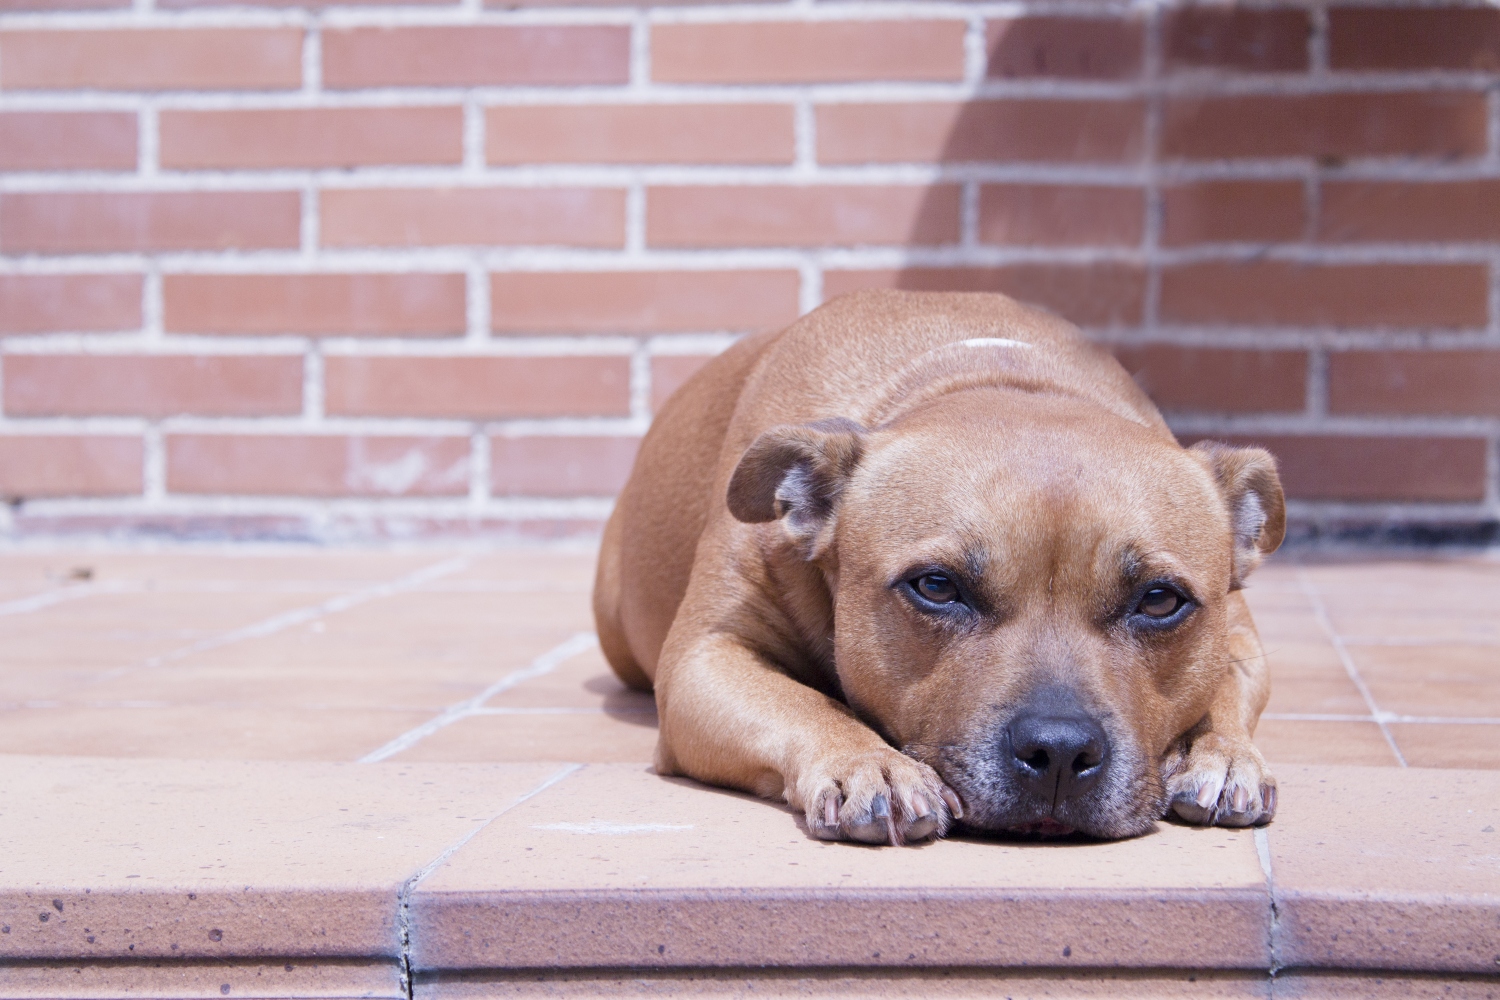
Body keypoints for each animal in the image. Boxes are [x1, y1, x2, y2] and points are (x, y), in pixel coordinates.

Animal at [591, 289, 1284, 845]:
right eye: (936, 587)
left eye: (1161, 600)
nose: (1059, 751)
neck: (994, 379)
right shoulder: (705, 657)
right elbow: (802, 703)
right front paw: (871, 764)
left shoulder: (1240, 636)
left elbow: (1226, 690)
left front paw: (1222, 755)